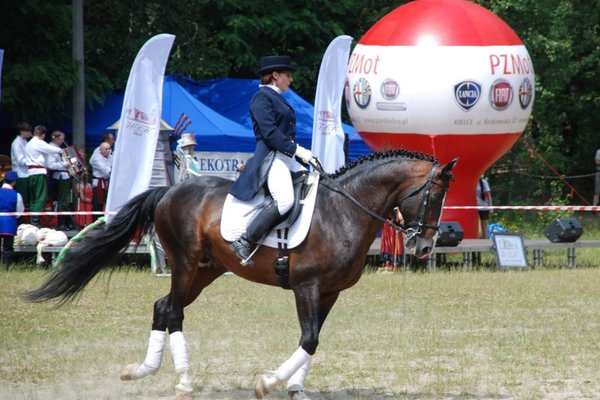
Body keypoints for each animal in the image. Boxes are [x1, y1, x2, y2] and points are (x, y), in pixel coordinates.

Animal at [23, 150, 454, 400]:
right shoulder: (307, 287)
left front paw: (296, 388)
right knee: (173, 311)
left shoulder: (330, 292)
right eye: (432, 196)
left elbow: (314, 340)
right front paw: (269, 383)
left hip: (205, 270)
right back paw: (183, 381)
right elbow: (309, 338)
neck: (343, 211)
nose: (424, 247)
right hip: (184, 263)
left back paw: (143, 370)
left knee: (163, 307)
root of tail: (169, 191)